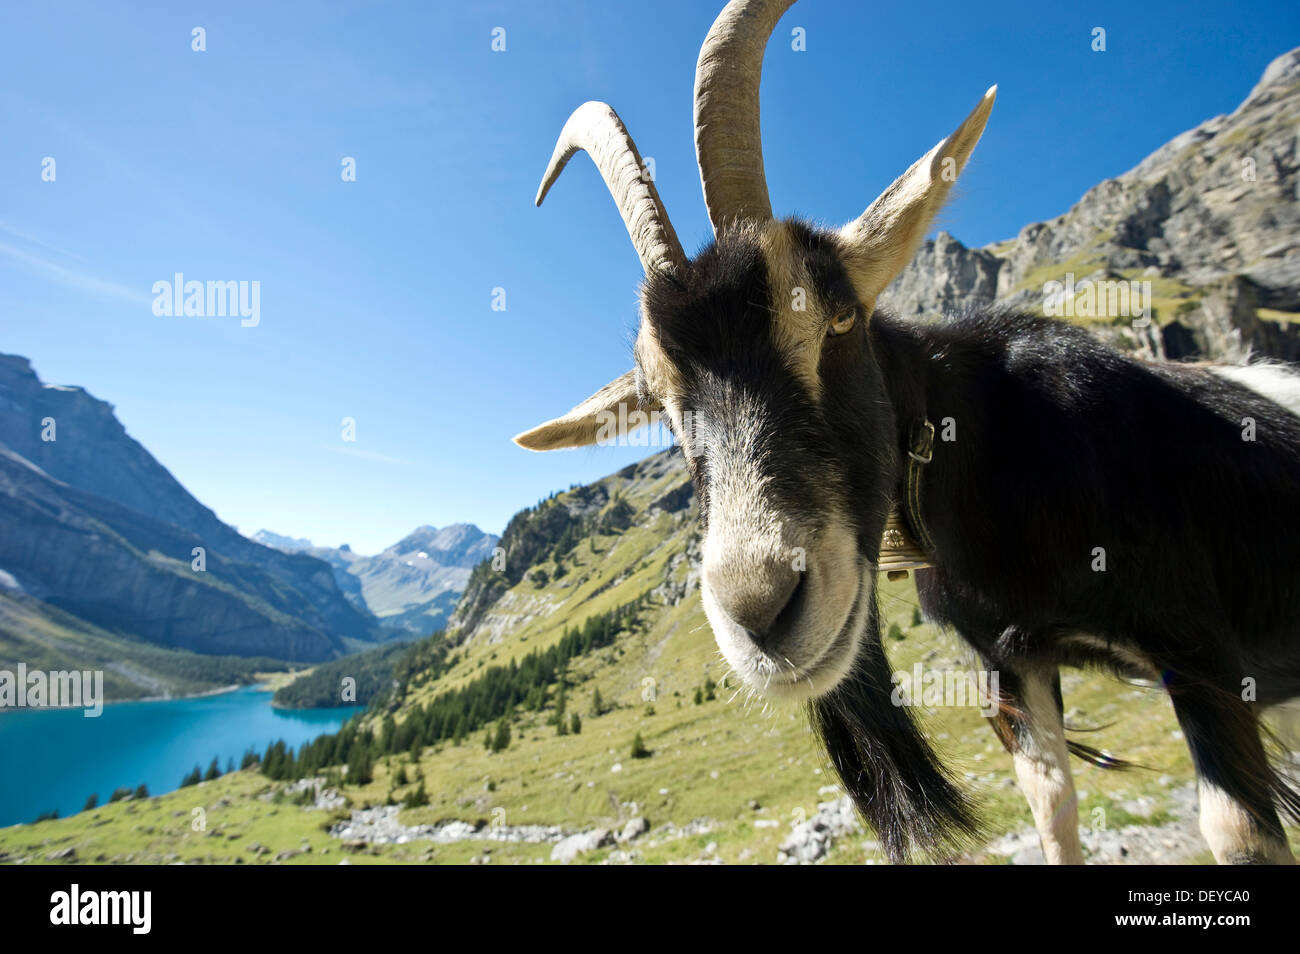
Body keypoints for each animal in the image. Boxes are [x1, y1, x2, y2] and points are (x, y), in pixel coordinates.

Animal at [512, 0, 1294, 868]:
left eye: (839, 318)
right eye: (658, 398)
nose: (761, 614)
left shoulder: (1202, 653)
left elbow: (1238, 832)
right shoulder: (1010, 661)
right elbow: (1051, 804)